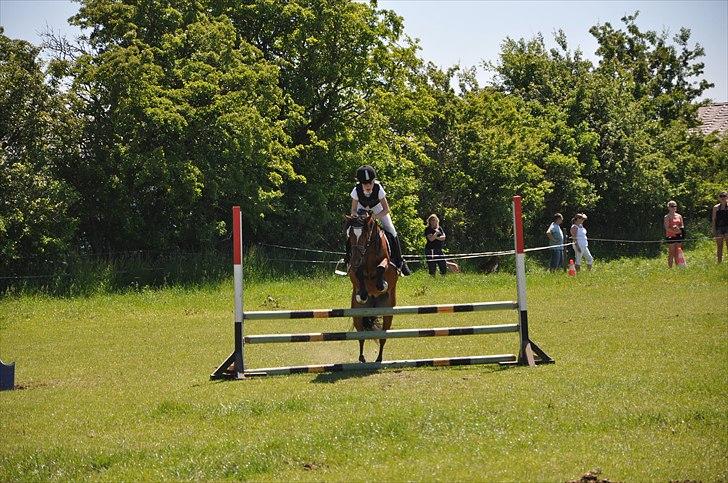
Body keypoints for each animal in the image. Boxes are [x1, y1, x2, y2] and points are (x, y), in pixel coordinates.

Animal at [346, 212, 398, 364]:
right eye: (350, 235)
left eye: (365, 234)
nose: (355, 259)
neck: (368, 252)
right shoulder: (355, 269)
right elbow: (358, 273)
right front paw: (362, 293)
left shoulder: (386, 262)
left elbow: (381, 267)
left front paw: (381, 285)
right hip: (357, 314)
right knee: (361, 336)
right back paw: (362, 358)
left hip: (388, 313)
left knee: (383, 337)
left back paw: (379, 359)